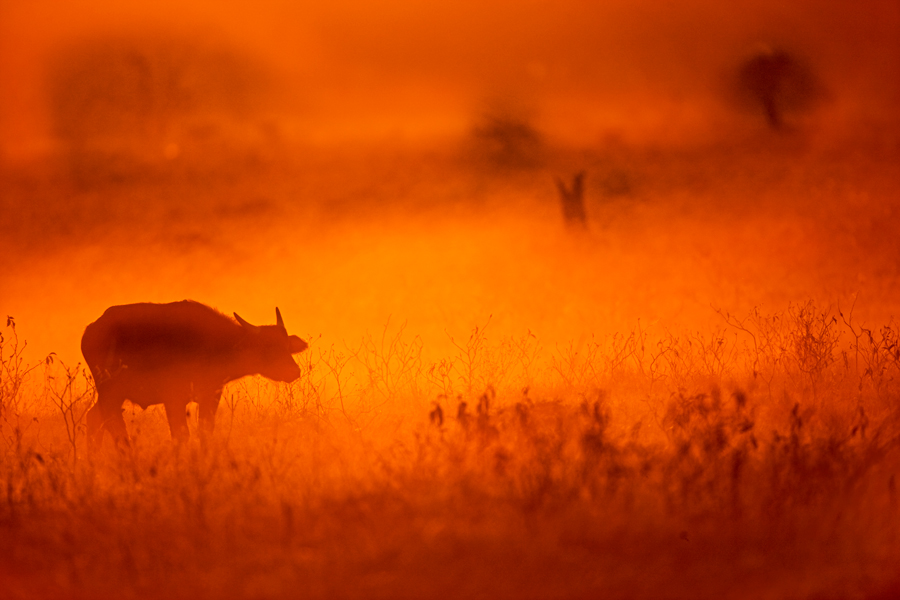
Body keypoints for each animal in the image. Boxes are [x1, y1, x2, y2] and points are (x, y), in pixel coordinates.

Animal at [84, 300, 310, 446]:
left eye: (286, 346)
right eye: (269, 347)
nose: (293, 371)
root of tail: (91, 330)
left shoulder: (211, 396)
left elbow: (205, 431)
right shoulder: (173, 399)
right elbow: (181, 435)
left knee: (95, 419)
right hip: (110, 392)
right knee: (113, 424)